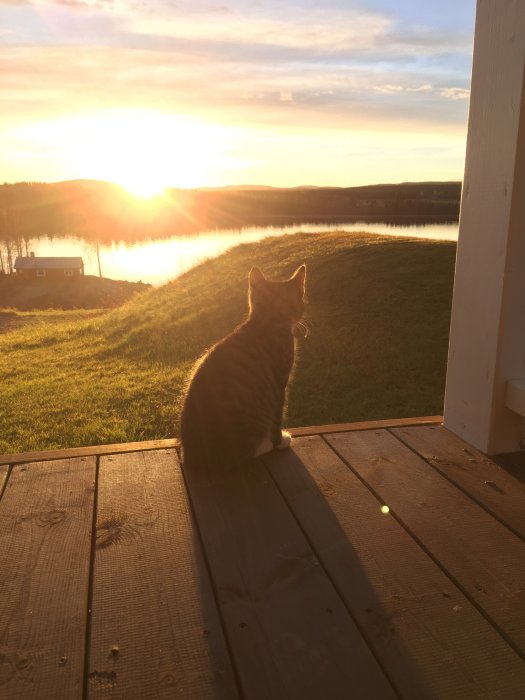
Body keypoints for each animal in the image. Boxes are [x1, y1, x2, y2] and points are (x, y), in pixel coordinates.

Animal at [182, 264, 308, 476]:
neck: (268, 321)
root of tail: (195, 460)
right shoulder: (278, 385)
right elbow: (277, 416)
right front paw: (279, 441)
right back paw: (265, 445)